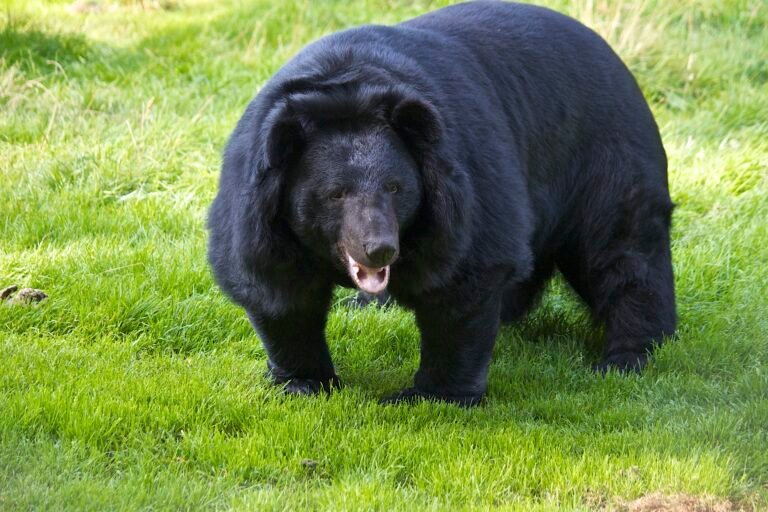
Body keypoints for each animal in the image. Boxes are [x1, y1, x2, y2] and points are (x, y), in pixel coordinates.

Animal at [207, 2, 676, 406]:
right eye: (335, 193)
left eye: (396, 188)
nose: (379, 248)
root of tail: (616, 61)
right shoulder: (260, 209)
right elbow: (277, 286)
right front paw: (303, 382)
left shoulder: (463, 183)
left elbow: (464, 277)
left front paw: (427, 394)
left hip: (604, 160)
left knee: (622, 253)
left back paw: (627, 356)